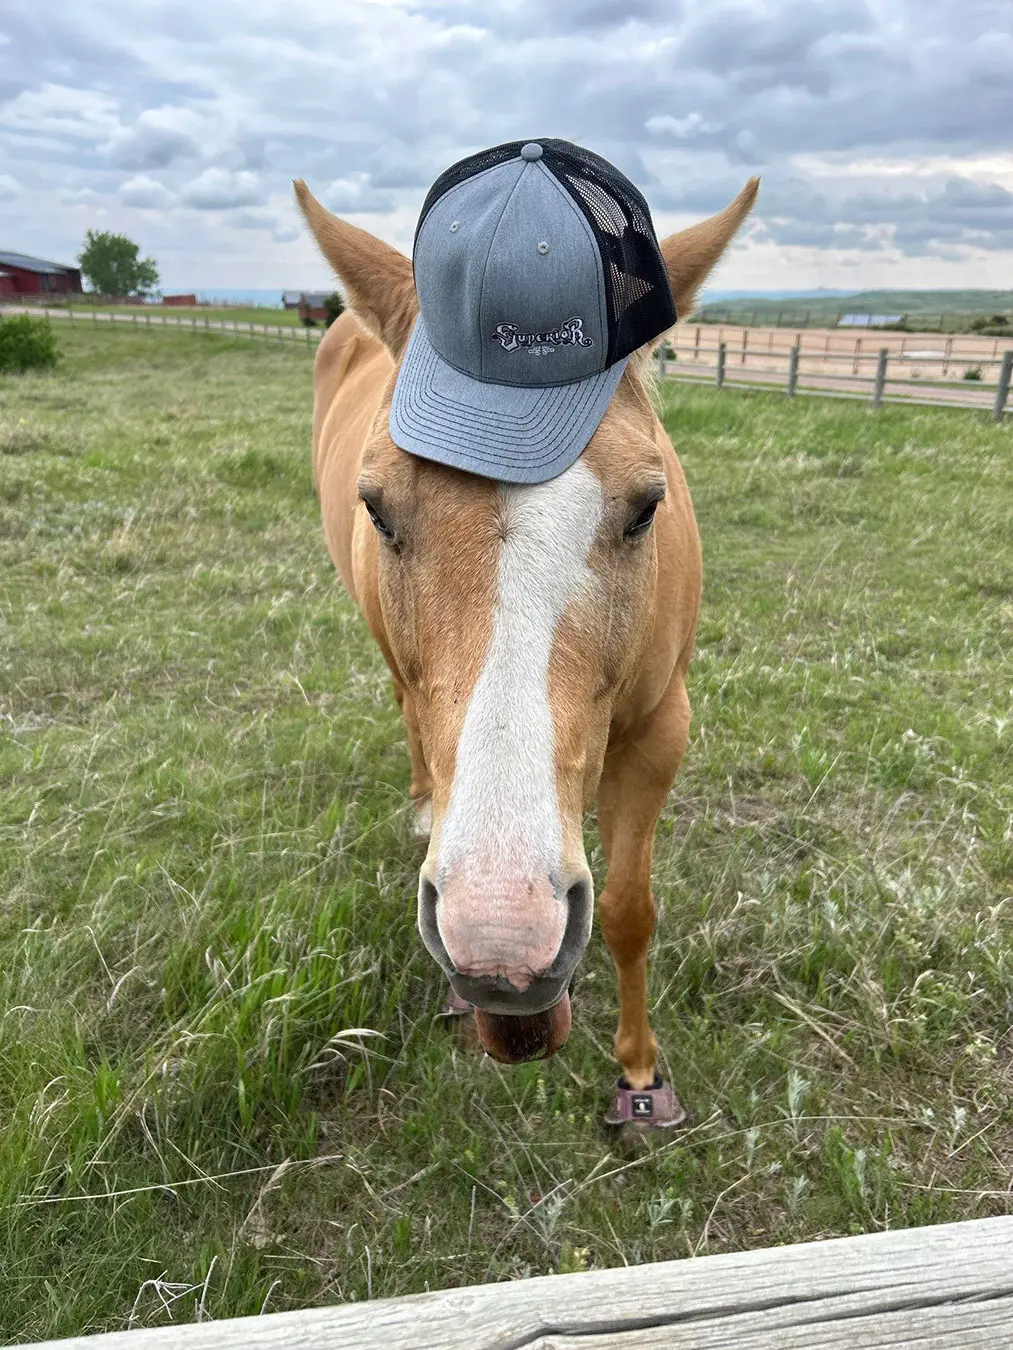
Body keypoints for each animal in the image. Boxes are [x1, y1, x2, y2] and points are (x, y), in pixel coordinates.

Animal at [295, 170, 758, 1123]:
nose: (500, 942)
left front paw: (639, 1075)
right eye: (377, 509)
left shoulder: (661, 731)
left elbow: (628, 908)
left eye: (647, 507)